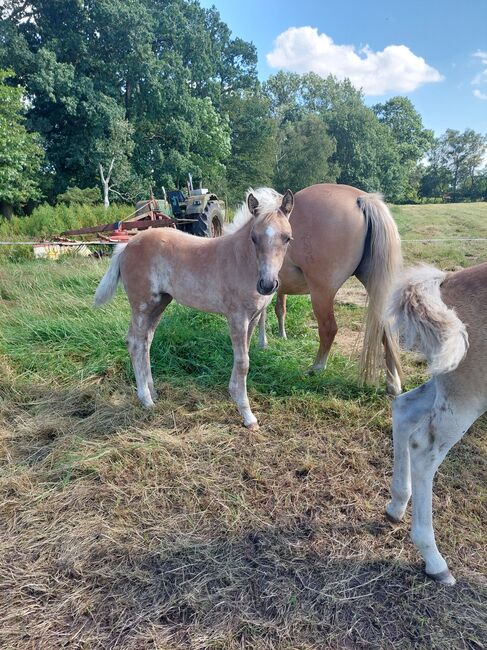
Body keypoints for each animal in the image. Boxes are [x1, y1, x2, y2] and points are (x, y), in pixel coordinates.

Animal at [95, 187, 294, 428]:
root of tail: (126, 245)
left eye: (287, 238)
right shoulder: (237, 317)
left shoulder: (253, 317)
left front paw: (233, 393)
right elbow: (243, 362)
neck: (241, 260)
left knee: (146, 342)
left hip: (159, 303)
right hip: (142, 305)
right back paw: (146, 400)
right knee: (134, 342)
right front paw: (248, 416)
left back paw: (154, 392)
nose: (267, 285)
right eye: (254, 238)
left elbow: (244, 356)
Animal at [260, 182, 404, 394]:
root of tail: (361, 198)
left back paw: (317, 368)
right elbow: (280, 310)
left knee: (328, 328)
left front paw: (263, 342)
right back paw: (393, 383)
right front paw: (279, 336)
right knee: (386, 330)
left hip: (322, 293)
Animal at [386, 260, 486, 584]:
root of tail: (446, 279)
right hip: (468, 393)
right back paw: (434, 560)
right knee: (423, 448)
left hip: (447, 377)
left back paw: (396, 506)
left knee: (404, 407)